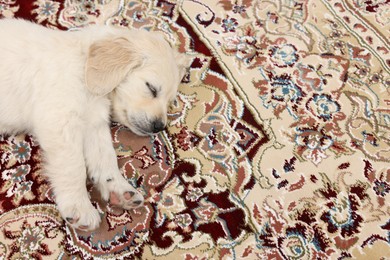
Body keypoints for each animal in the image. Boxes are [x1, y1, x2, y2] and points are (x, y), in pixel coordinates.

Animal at [0, 19, 190, 231]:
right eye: (152, 89)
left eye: (170, 102)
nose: (159, 126)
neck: (83, 65)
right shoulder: (60, 119)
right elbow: (74, 165)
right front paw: (79, 207)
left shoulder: (94, 123)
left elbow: (105, 158)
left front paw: (118, 189)